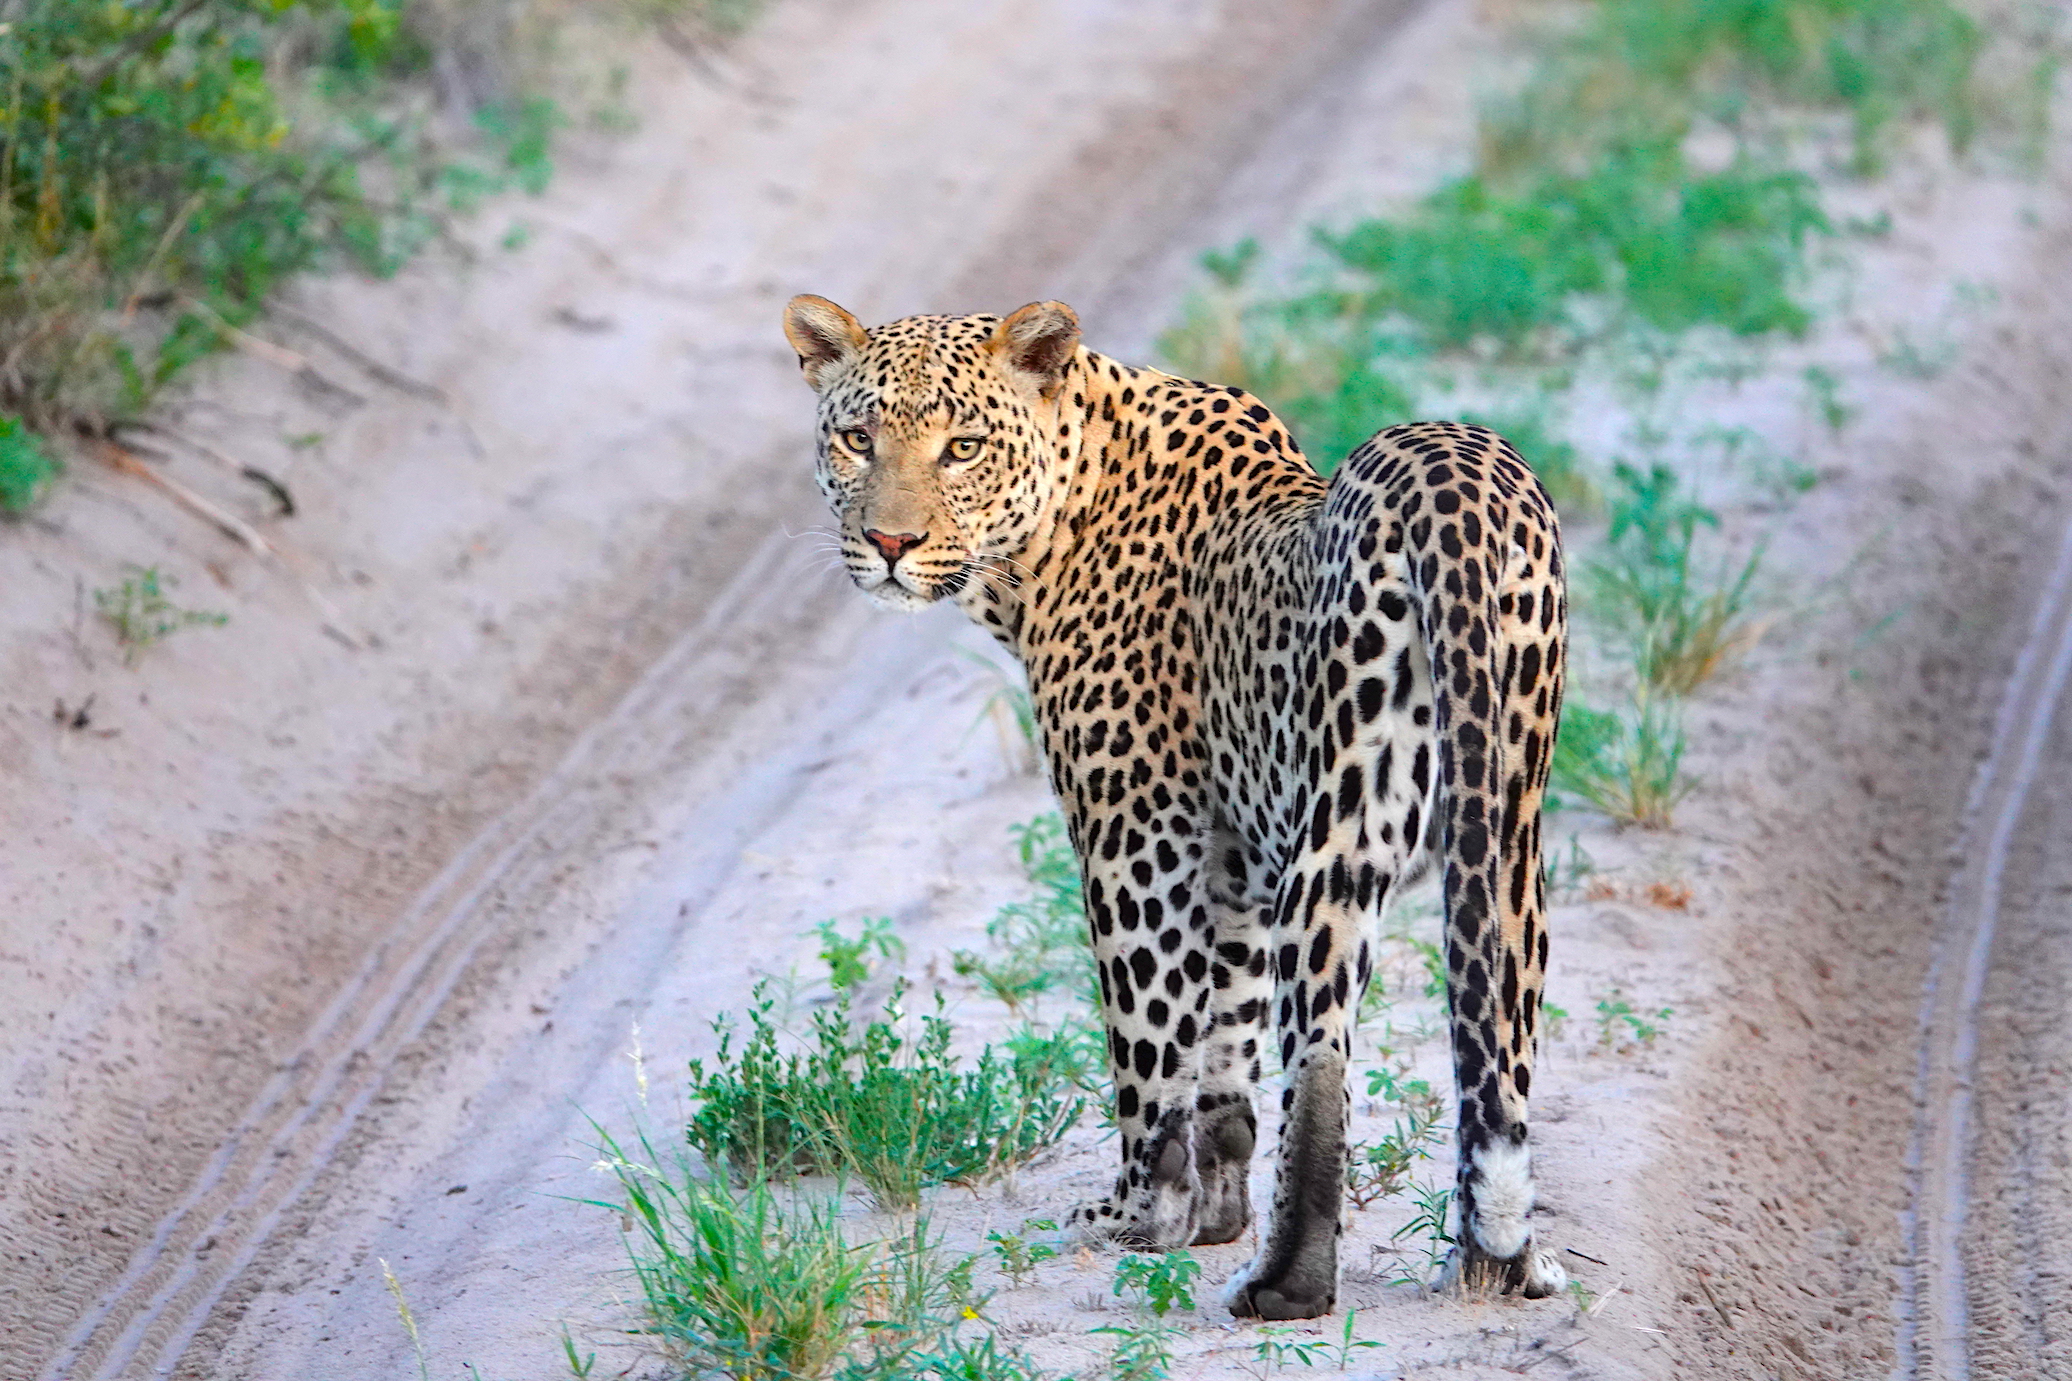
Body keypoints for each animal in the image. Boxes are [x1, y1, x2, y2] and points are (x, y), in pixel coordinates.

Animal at [783, 294, 1558, 1316]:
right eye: (858, 439)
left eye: (962, 447)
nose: (890, 546)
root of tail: (1452, 469)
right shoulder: (1232, 853)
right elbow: (1223, 1045)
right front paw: (1214, 1209)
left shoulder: (1133, 835)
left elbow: (1147, 1046)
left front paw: (1141, 1215)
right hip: (1509, 824)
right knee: (1499, 1033)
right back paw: (1496, 1264)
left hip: (1341, 831)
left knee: (1321, 1053)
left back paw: (1284, 1283)